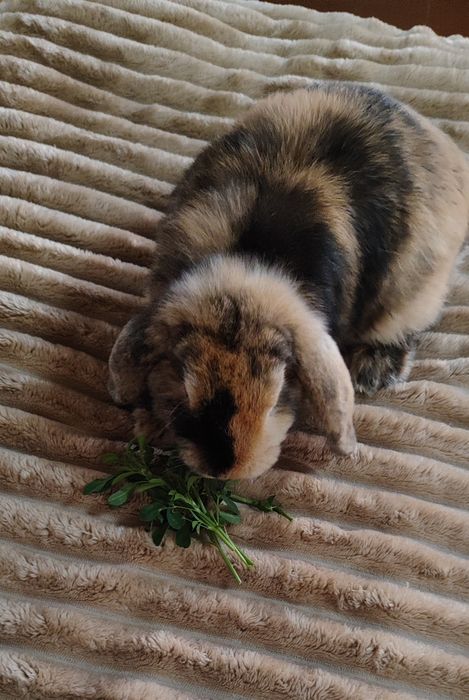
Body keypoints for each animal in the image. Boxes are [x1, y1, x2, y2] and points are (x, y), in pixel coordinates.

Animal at [108, 82, 469, 480]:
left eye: (279, 393)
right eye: (184, 385)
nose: (227, 470)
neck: (247, 263)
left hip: (413, 292)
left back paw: (371, 370)